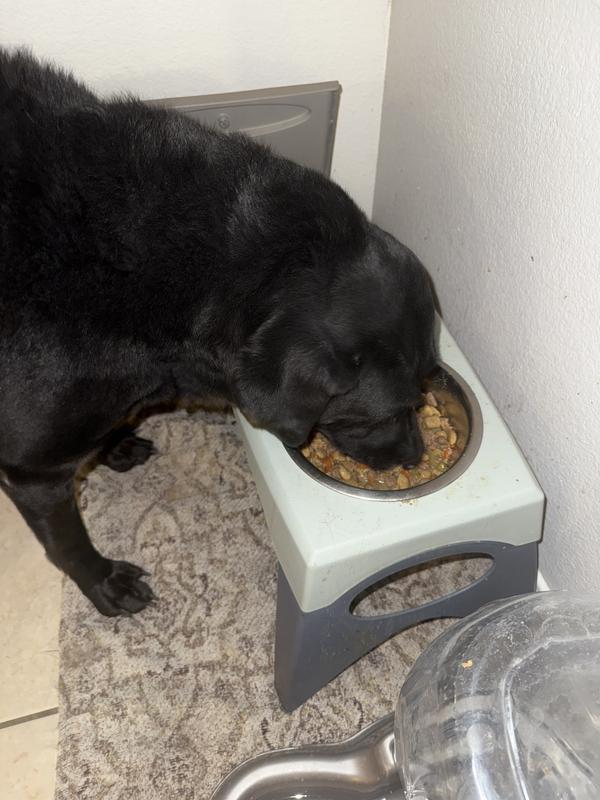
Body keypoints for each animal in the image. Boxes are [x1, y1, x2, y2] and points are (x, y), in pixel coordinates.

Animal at [0, 49, 437, 615]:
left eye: (426, 391)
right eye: (383, 413)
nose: (415, 456)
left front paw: (114, 446)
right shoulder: (34, 469)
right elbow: (66, 540)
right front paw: (101, 581)